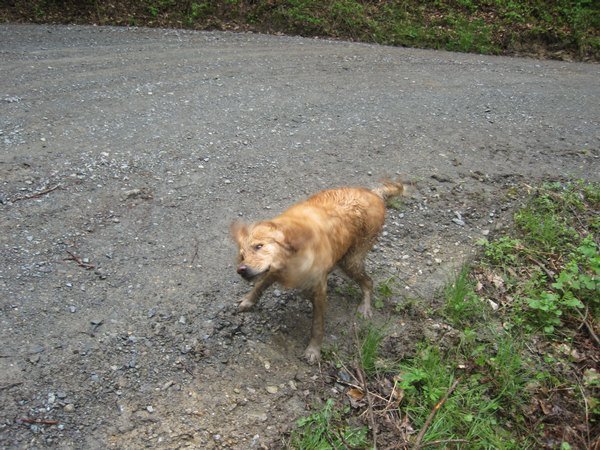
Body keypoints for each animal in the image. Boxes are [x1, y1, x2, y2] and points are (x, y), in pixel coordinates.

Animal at [232, 179, 406, 362]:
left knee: (368, 282)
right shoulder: (275, 269)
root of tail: (374, 193)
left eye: (259, 246)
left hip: (351, 261)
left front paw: (313, 350)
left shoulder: (319, 289)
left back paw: (365, 306)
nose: (241, 270)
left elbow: (317, 325)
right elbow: (261, 284)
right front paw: (248, 300)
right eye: (242, 256)